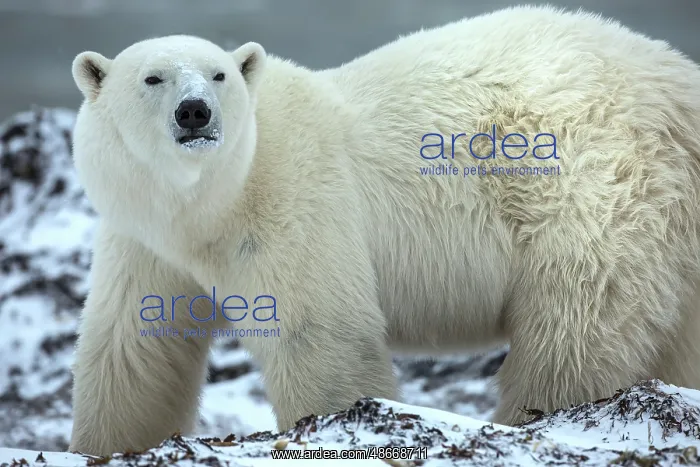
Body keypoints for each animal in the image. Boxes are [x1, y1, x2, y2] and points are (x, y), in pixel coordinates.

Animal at [67, 4, 700, 456]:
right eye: (152, 78)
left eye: (219, 75)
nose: (195, 111)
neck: (207, 203)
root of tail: (679, 86)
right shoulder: (141, 236)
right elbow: (131, 346)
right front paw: (101, 446)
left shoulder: (295, 200)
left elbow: (320, 334)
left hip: (591, 191)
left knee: (576, 328)